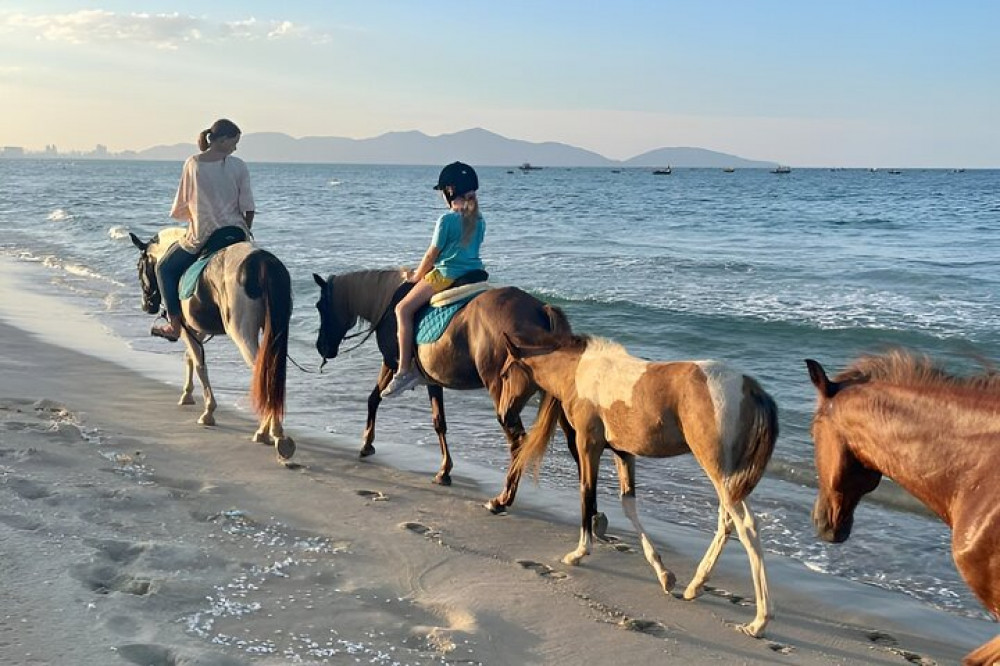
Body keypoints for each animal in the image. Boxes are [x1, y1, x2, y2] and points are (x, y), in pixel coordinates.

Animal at [130, 228, 292, 462]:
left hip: (242, 333)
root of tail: (262, 263)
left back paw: (265, 432)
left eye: (139, 266)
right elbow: (190, 358)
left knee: (262, 376)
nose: (146, 305)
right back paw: (273, 431)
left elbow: (199, 364)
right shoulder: (198, 329)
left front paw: (208, 412)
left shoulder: (186, 327)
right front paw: (188, 395)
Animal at [312, 266, 576, 508]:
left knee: (518, 441)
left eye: (320, 306)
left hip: (503, 394)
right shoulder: (432, 379)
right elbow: (439, 422)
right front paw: (444, 471)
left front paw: (367, 443)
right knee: (575, 443)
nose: (321, 347)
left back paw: (502, 499)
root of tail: (540, 308)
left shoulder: (391, 362)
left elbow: (374, 398)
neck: (386, 300)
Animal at [504, 334, 776, 636]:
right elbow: (628, 504)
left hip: (719, 472)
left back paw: (759, 620)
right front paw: (664, 574)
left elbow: (587, 493)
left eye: (504, 373)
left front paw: (579, 553)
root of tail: (749, 386)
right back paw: (695, 586)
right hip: (729, 478)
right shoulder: (623, 452)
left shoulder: (588, 445)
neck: (579, 372)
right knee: (726, 522)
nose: (505, 415)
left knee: (746, 527)